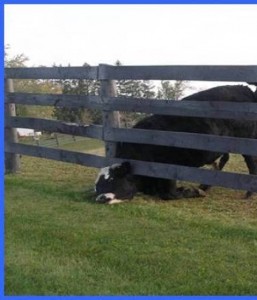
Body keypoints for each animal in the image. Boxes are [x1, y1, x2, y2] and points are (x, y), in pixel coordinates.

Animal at [94, 85, 256, 205]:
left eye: (112, 179)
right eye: (97, 186)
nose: (100, 198)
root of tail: (243, 88)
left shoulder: (168, 169)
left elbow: (169, 194)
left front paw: (192, 191)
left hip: (246, 141)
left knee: (251, 163)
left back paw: (248, 192)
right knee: (224, 159)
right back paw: (205, 185)